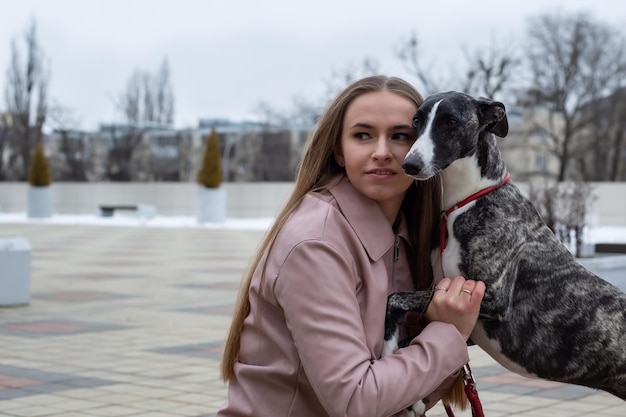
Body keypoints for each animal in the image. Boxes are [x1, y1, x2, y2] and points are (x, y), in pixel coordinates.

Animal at [382, 89, 620, 412]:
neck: (468, 200)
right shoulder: (464, 318)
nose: (410, 165)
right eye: (416, 121)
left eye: (451, 121)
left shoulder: (491, 298)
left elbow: (396, 298)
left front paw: (388, 351)